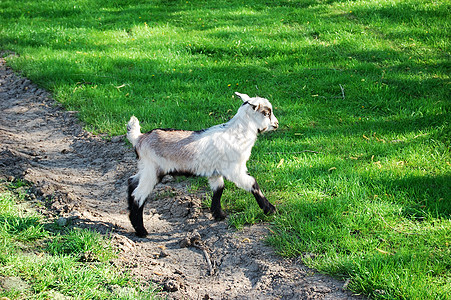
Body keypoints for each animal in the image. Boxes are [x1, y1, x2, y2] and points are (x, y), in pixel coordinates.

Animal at [127, 91, 278, 237]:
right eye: (266, 113)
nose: (276, 124)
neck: (237, 134)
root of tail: (139, 138)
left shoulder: (215, 172)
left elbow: (219, 189)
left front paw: (219, 215)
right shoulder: (234, 169)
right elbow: (252, 183)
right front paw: (270, 209)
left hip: (145, 167)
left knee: (131, 182)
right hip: (152, 170)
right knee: (138, 195)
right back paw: (141, 231)